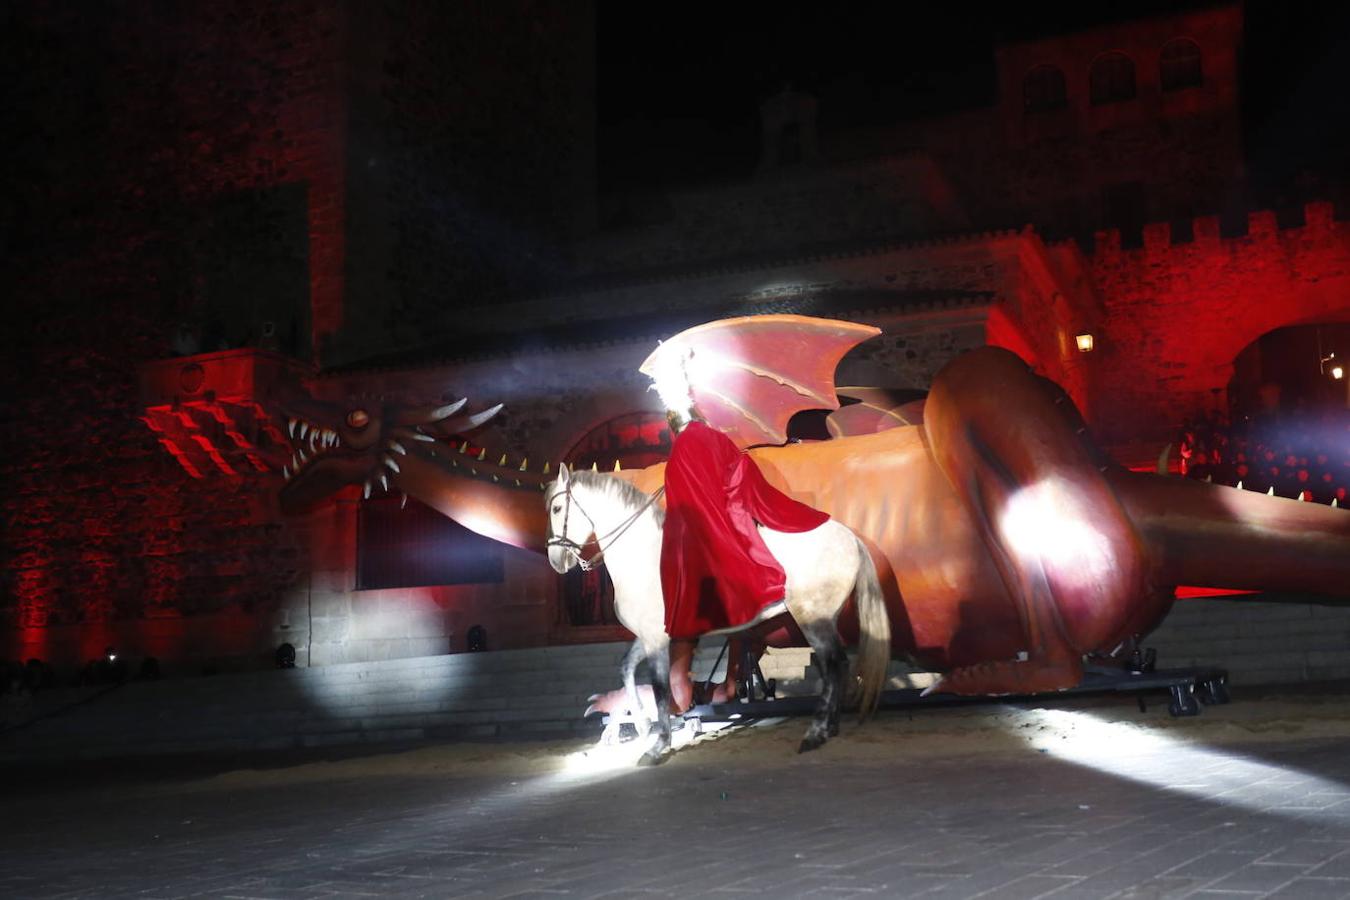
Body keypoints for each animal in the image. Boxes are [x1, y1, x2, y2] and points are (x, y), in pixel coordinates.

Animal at [542, 464, 891, 766]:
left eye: (557, 509)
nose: (556, 561)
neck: (644, 554)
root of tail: (849, 538)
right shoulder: (650, 636)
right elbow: (627, 668)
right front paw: (641, 726)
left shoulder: (656, 639)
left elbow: (660, 688)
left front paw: (657, 746)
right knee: (838, 664)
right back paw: (830, 727)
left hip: (813, 619)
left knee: (831, 665)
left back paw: (815, 733)